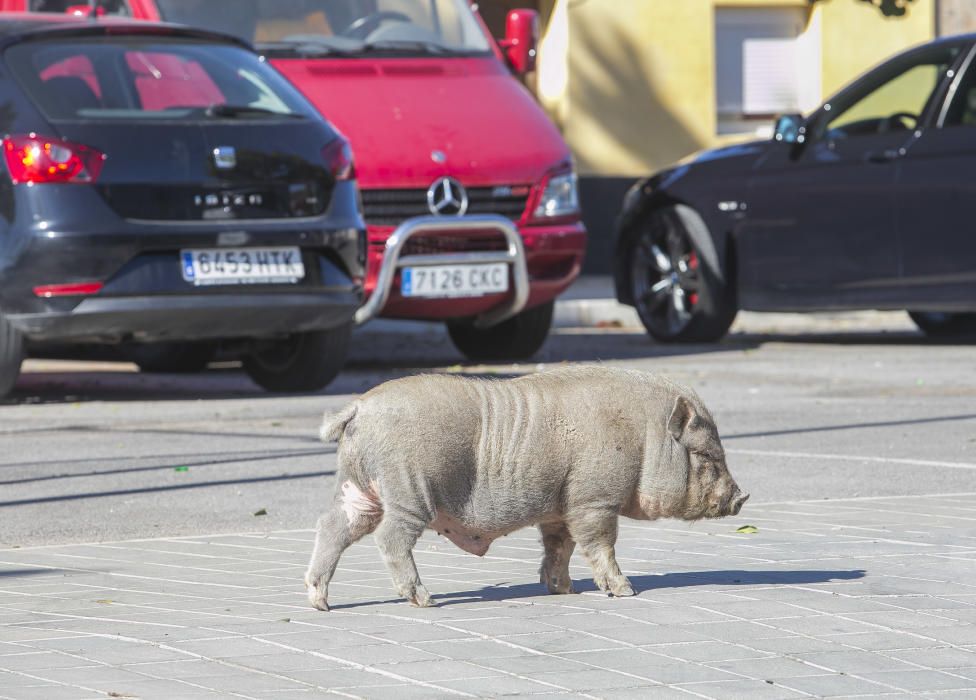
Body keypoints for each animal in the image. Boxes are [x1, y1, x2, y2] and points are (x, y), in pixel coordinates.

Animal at [304, 364, 748, 608]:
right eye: (707, 455)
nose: (741, 497)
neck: (644, 436)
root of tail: (360, 407)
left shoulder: (559, 508)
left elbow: (559, 547)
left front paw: (564, 591)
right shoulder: (594, 500)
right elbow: (599, 544)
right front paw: (626, 591)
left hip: (358, 490)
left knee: (332, 527)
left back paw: (320, 603)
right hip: (408, 490)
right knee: (390, 538)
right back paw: (425, 600)